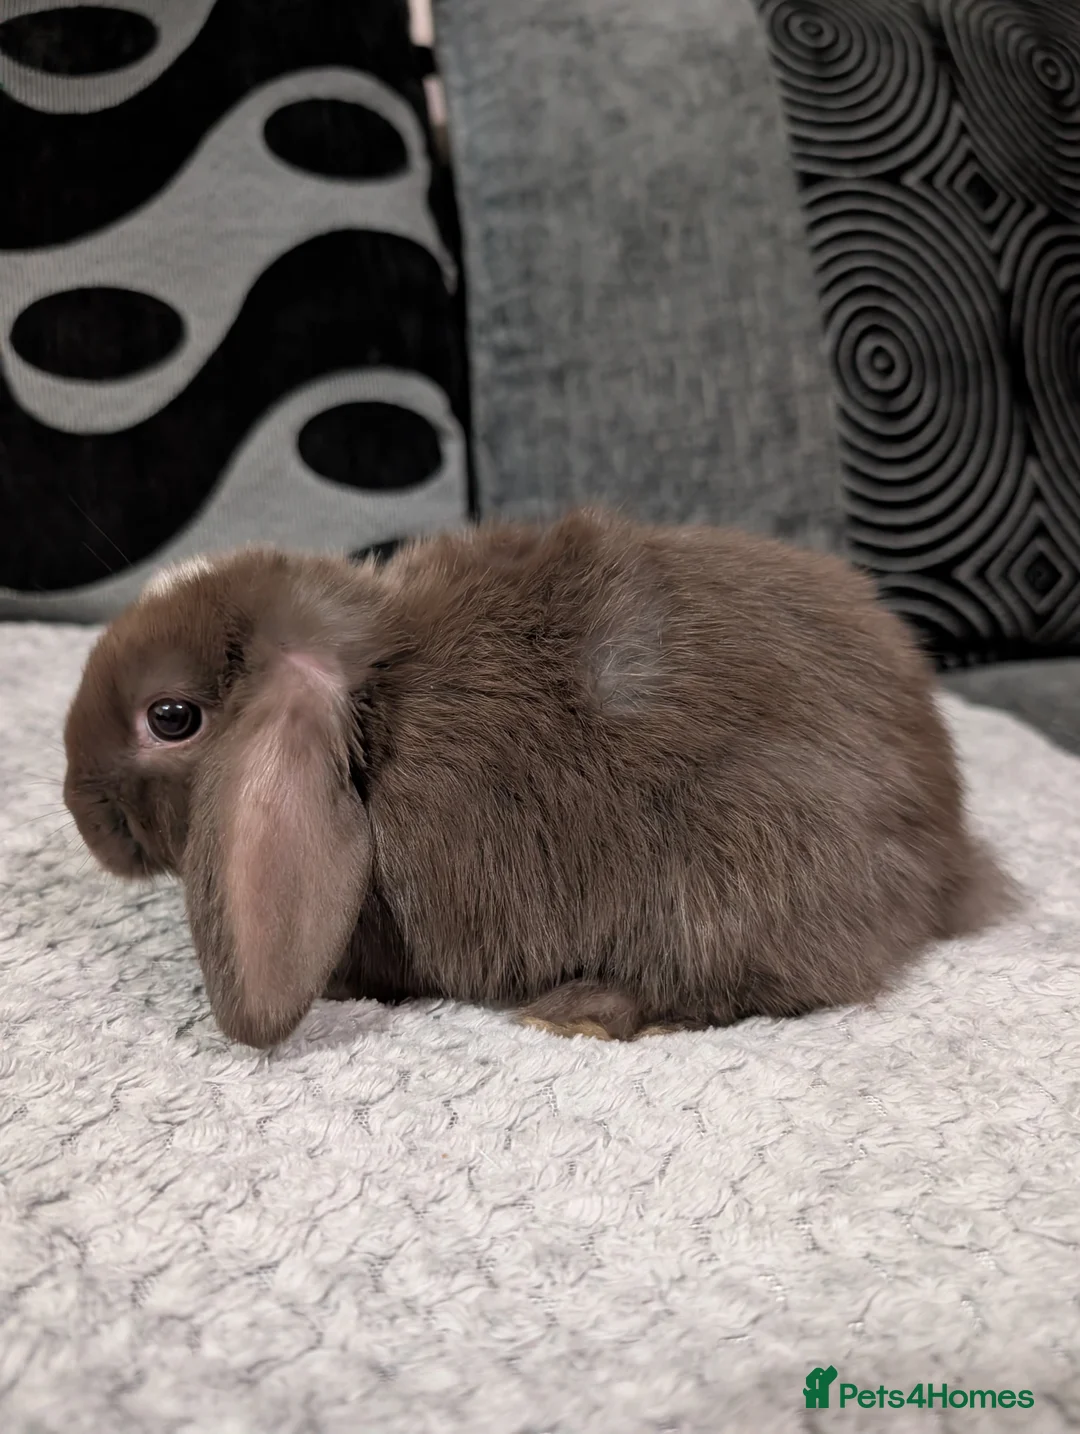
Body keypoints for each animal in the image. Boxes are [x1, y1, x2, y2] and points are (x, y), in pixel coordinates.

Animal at [62, 508, 1014, 1049]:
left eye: (170, 718)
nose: (80, 812)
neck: (373, 706)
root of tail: (947, 858)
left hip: (737, 868)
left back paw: (579, 1009)